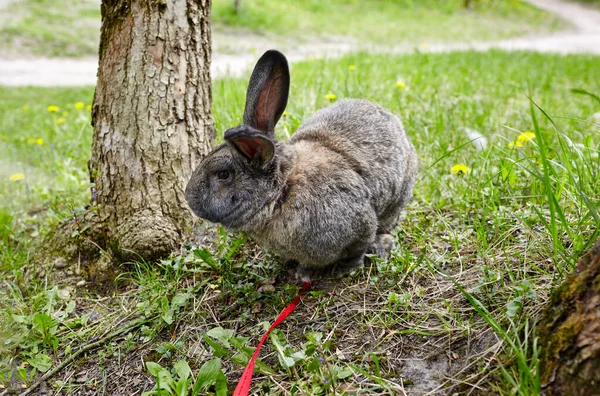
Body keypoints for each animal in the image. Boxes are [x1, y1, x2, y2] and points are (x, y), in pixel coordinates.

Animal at [186, 50, 418, 282]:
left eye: (223, 174)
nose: (188, 197)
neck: (284, 192)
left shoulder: (361, 224)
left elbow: (357, 249)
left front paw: (347, 269)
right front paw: (303, 272)